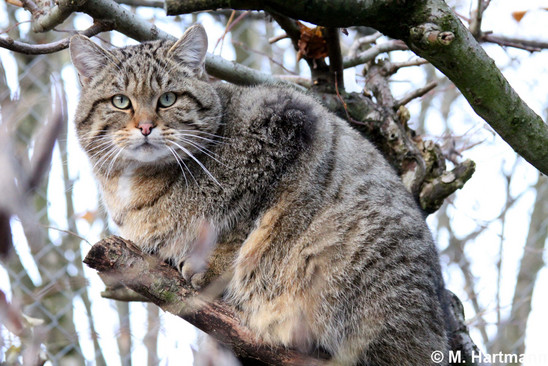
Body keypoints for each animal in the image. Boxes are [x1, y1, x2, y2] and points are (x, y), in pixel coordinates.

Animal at [69, 24, 450, 364]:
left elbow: (243, 228)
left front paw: (210, 265)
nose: (146, 127)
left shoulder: (288, 122)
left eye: (168, 99)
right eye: (120, 101)